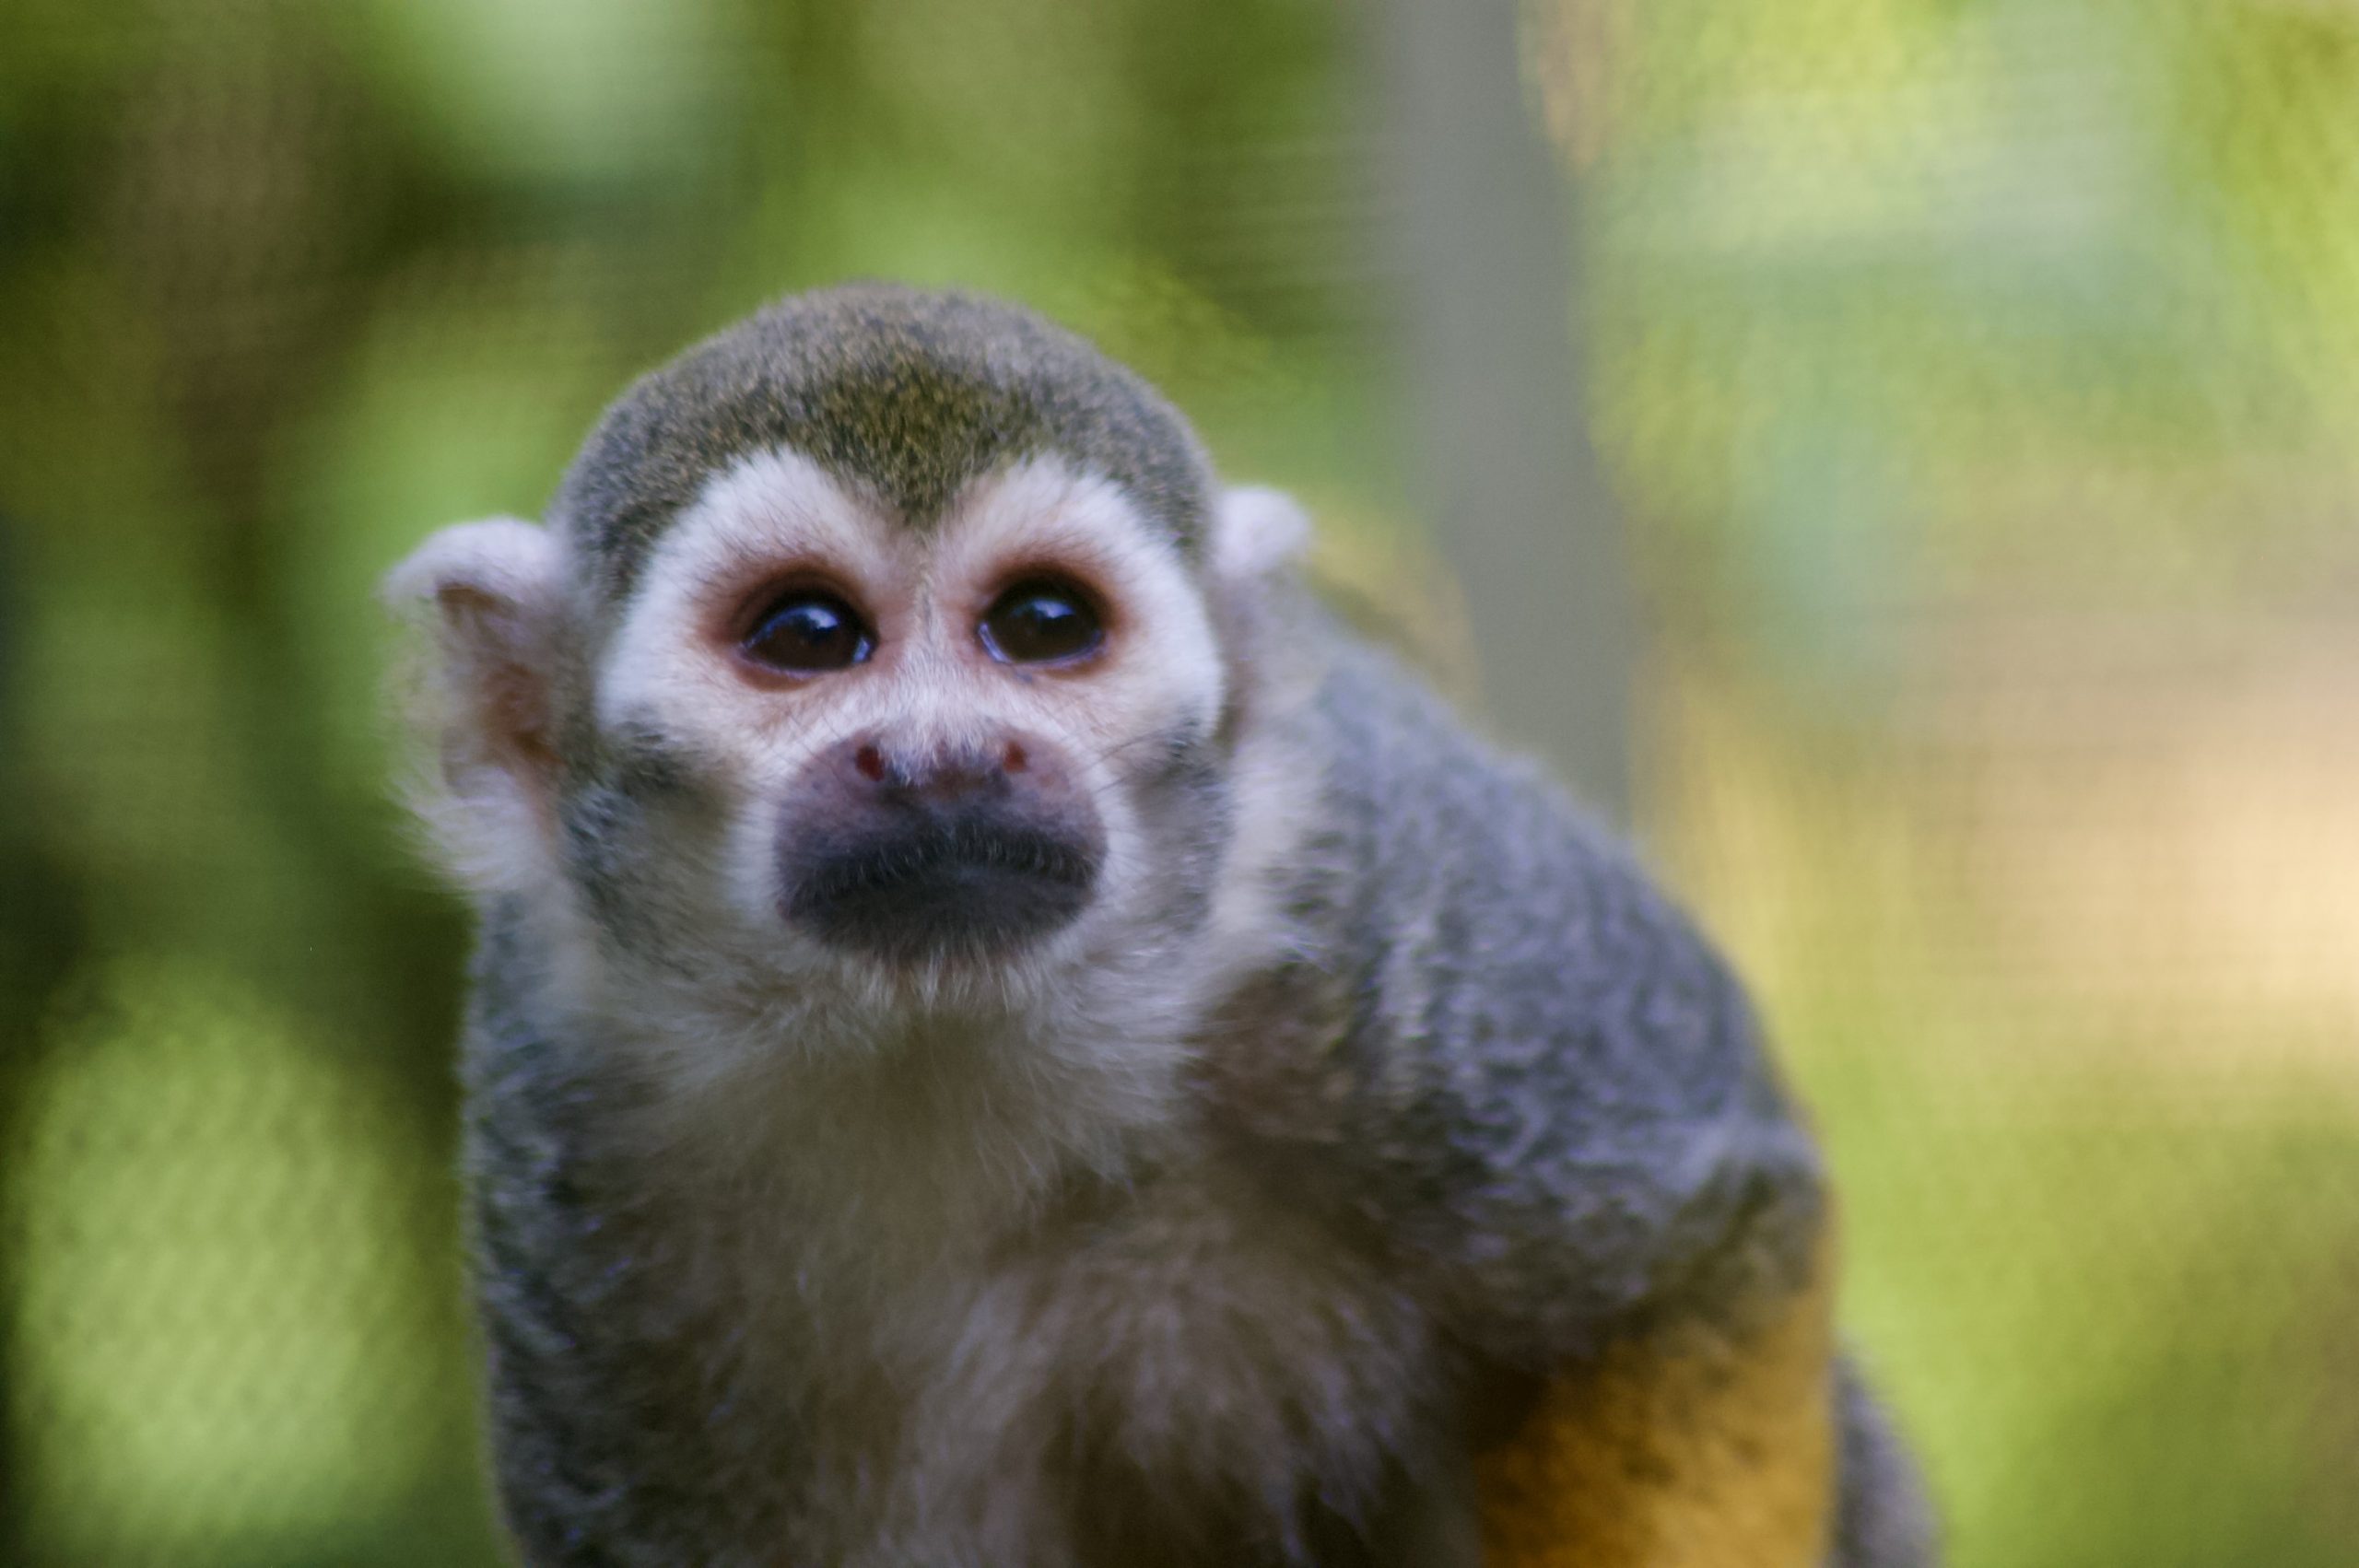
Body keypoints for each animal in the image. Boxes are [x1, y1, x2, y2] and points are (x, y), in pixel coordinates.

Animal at [384, 283, 1935, 1568]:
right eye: (808, 635)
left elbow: (1701, 1250)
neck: (952, 1029)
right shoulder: (569, 1116)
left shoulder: (1377, 893)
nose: (946, 757)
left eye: (1042, 622)